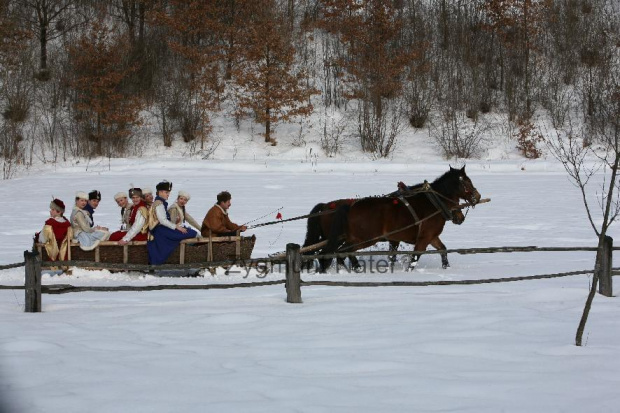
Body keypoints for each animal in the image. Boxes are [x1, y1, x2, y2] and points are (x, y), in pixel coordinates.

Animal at [320, 166, 480, 272]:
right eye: (467, 182)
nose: (477, 196)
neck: (434, 204)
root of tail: (350, 207)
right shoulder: (424, 238)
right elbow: (414, 259)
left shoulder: (431, 237)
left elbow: (443, 250)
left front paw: (446, 267)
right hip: (365, 239)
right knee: (343, 251)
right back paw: (354, 268)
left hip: (354, 238)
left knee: (341, 252)